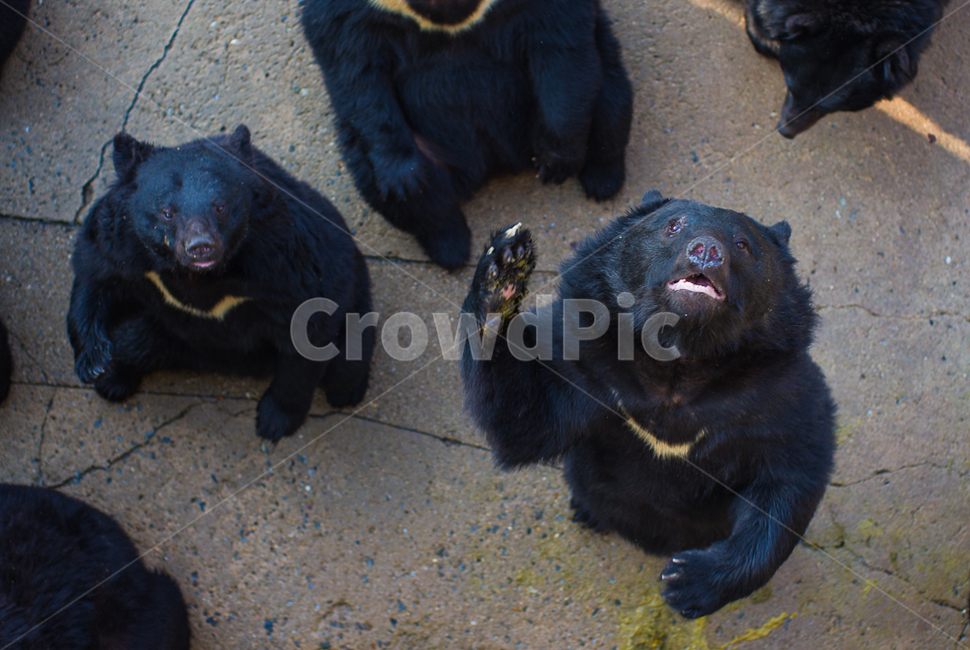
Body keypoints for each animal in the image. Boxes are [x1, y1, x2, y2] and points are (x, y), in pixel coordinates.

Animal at [68, 125, 375, 442]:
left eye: (220, 207)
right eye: (167, 212)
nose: (200, 247)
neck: (200, 275)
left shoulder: (285, 261)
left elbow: (309, 327)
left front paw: (275, 420)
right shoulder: (124, 247)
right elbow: (96, 277)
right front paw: (95, 365)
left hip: (357, 292)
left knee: (349, 357)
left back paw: (347, 392)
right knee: (133, 342)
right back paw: (114, 381)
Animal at [301, 0, 633, 270]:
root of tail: (494, 161)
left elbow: (560, 43)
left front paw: (556, 160)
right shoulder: (355, 13)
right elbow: (352, 61)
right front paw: (402, 176)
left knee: (608, 100)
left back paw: (602, 180)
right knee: (386, 183)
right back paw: (450, 246)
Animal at [460, 191, 836, 618]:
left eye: (743, 245)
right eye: (673, 225)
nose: (707, 251)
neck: (679, 360)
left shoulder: (777, 394)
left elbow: (792, 471)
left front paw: (687, 581)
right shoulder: (588, 368)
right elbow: (526, 421)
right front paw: (504, 267)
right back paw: (587, 512)